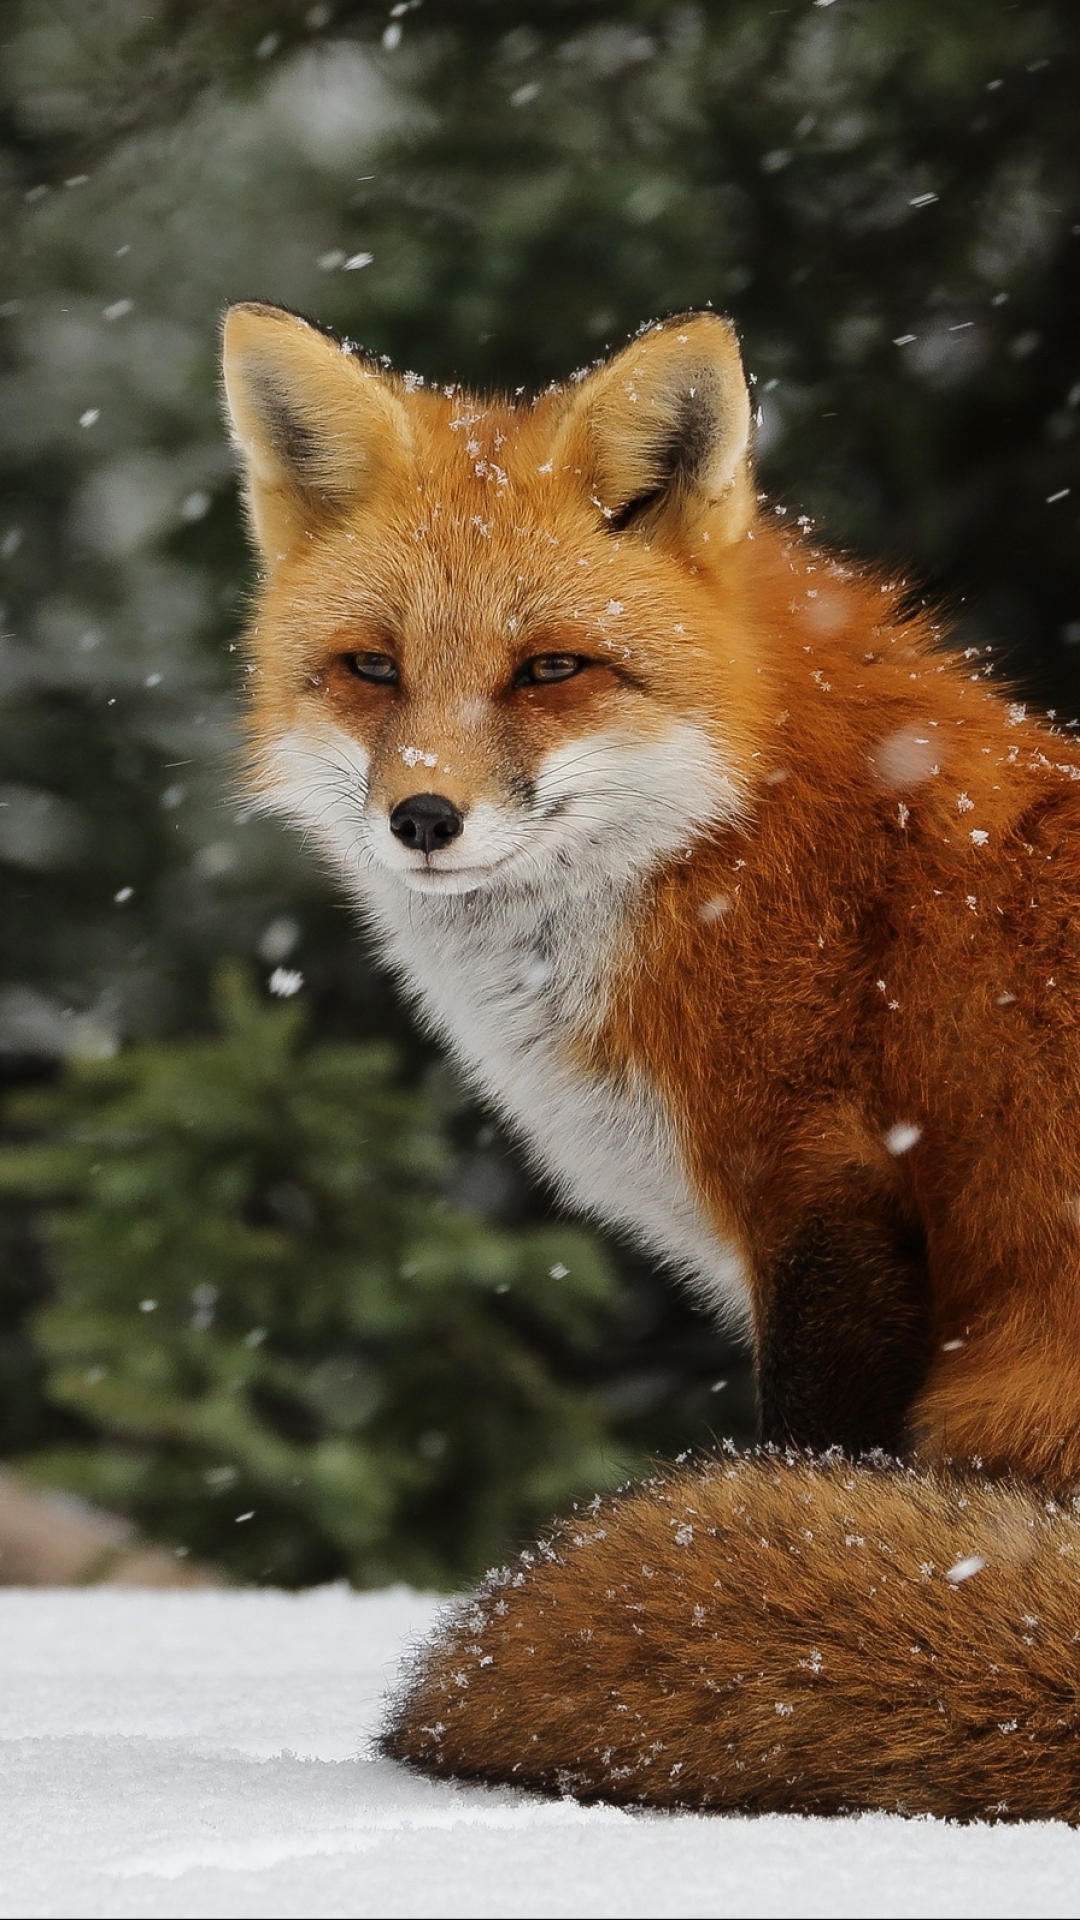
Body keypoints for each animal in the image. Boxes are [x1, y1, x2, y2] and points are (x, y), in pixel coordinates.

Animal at [220, 299, 1080, 1812]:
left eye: (551, 668)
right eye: (373, 667)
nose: (423, 818)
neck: (732, 833)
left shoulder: (828, 1195)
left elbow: (807, 1470)